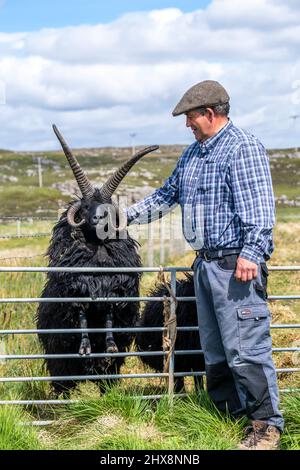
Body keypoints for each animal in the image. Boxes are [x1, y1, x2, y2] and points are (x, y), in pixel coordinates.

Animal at [37, 125, 159, 392]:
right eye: (85, 207)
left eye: (108, 208)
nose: (97, 219)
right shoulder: (77, 290)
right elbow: (83, 317)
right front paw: (85, 348)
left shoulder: (114, 289)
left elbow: (109, 315)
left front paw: (110, 346)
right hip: (59, 365)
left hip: (107, 374)